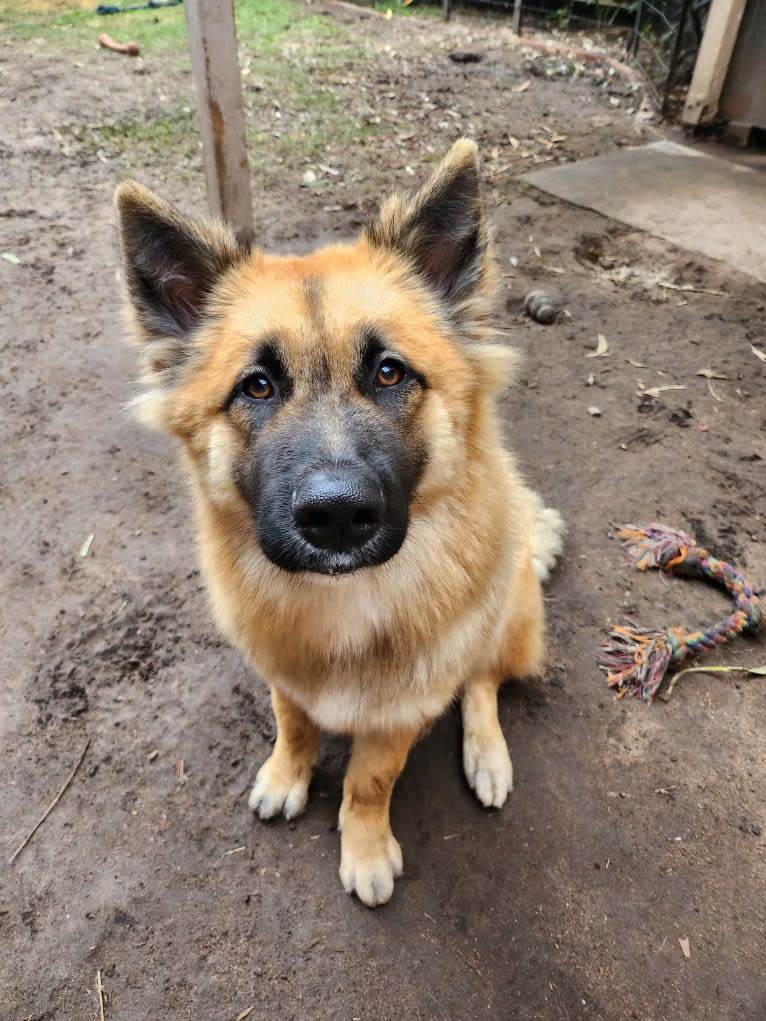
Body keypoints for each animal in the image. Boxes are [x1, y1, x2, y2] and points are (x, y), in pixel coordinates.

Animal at [116, 139, 567, 906]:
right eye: (257, 386)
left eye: (389, 373)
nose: (336, 517)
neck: (347, 598)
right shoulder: (282, 672)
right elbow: (293, 726)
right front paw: (286, 775)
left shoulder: (403, 710)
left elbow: (369, 780)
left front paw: (365, 848)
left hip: (504, 611)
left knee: (483, 680)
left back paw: (486, 753)